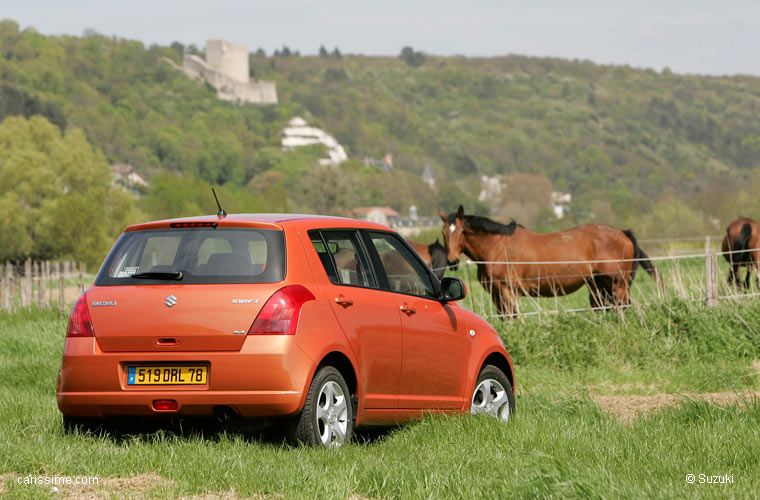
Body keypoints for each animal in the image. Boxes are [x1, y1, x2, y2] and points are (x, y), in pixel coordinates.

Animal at [442, 206, 664, 316]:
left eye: (461, 231)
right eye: (444, 232)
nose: (452, 261)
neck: (498, 247)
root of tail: (623, 233)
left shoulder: (508, 291)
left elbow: (512, 317)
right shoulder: (497, 294)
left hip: (618, 285)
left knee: (623, 307)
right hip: (597, 286)